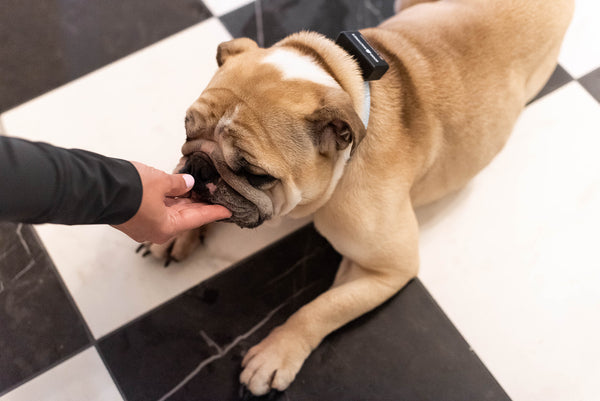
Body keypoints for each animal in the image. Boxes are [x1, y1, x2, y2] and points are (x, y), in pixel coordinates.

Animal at [148, 0, 576, 394]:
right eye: (187, 131)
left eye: (256, 175)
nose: (201, 166)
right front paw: (174, 226)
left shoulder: (385, 269)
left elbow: (321, 308)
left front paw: (276, 354)